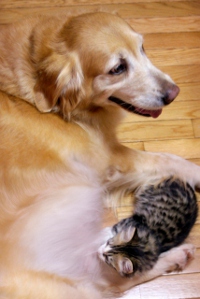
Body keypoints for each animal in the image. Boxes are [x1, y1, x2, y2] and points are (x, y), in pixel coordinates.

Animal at [0, 11, 198, 299]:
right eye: (117, 68)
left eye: (142, 48)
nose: (174, 93)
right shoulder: (111, 160)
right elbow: (168, 159)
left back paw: (176, 256)